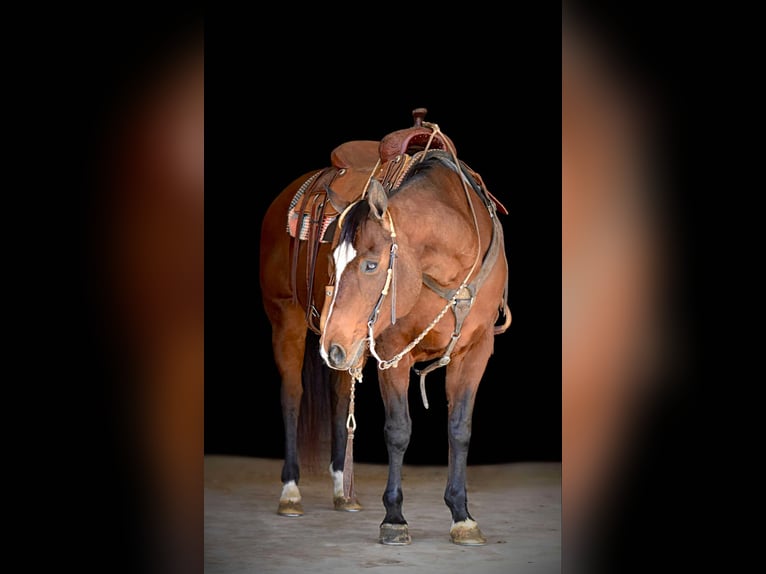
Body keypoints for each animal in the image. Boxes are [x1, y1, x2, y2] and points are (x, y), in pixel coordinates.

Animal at [260, 109, 512, 548]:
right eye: (332, 261)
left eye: (370, 264)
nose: (330, 344)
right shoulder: (393, 351)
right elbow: (398, 430)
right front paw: (394, 517)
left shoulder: (475, 351)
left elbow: (459, 429)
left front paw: (462, 515)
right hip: (288, 323)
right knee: (291, 396)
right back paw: (290, 492)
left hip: (348, 346)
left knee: (340, 398)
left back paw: (343, 492)